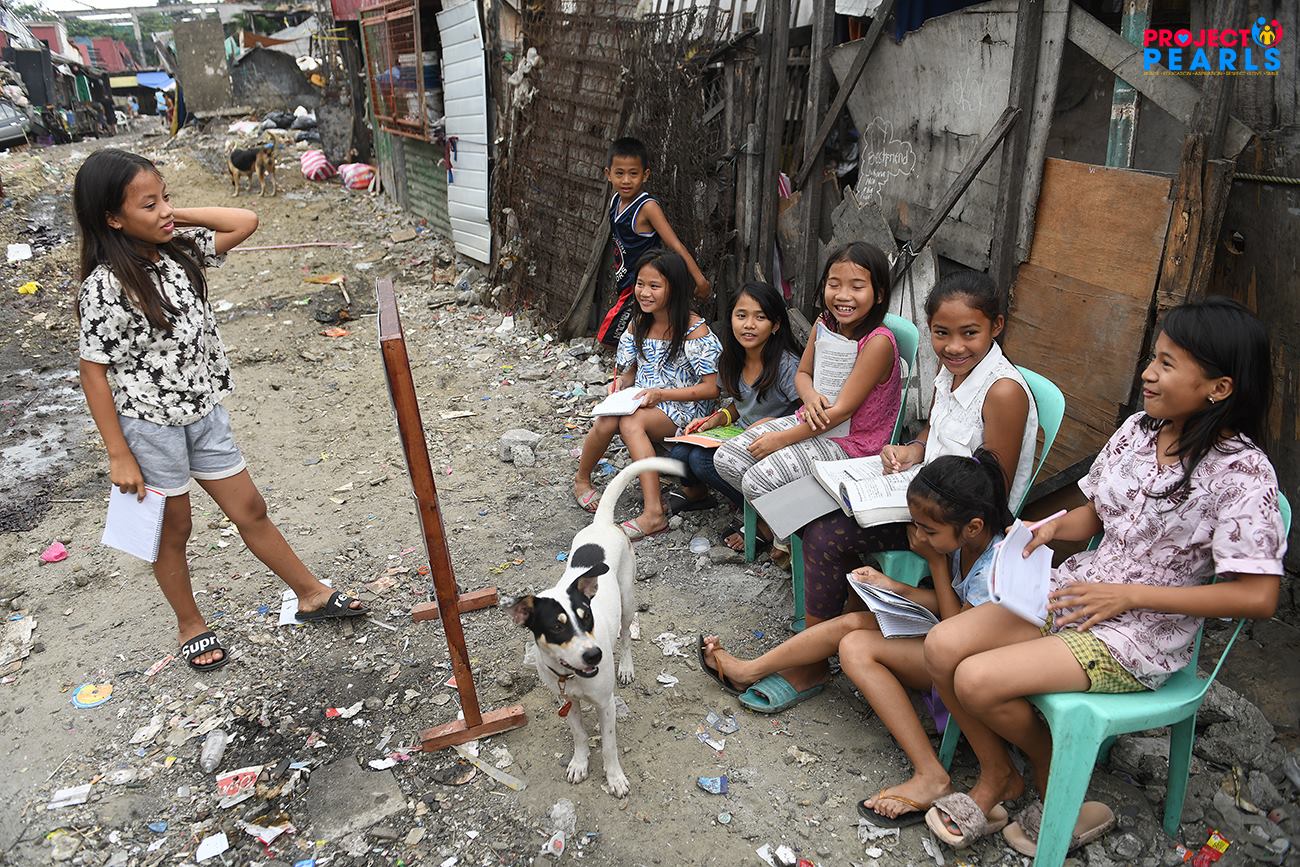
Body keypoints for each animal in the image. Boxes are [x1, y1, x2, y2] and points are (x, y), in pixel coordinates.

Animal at [510, 456, 684, 798]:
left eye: (586, 617)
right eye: (557, 628)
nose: (595, 656)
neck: (571, 676)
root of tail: (602, 523)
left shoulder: (606, 705)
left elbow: (609, 745)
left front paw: (614, 777)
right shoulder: (567, 702)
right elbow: (579, 734)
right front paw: (579, 763)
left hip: (628, 599)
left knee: (627, 635)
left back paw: (626, 667)